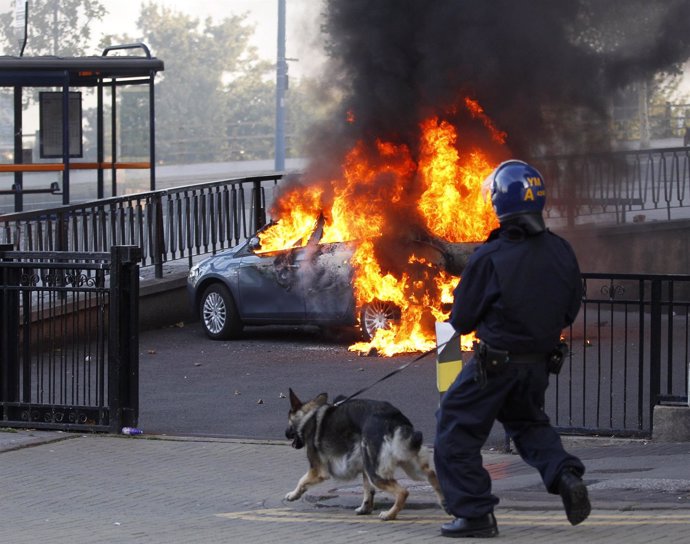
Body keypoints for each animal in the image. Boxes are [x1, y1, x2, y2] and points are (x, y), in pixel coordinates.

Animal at [284, 388, 440, 520]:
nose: (285, 434)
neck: (308, 415)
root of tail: (394, 418)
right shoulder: (364, 466)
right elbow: (367, 490)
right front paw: (365, 508)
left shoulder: (317, 471)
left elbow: (302, 480)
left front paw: (293, 494)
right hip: (409, 465)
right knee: (431, 474)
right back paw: (442, 500)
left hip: (377, 473)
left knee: (403, 492)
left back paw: (389, 514)